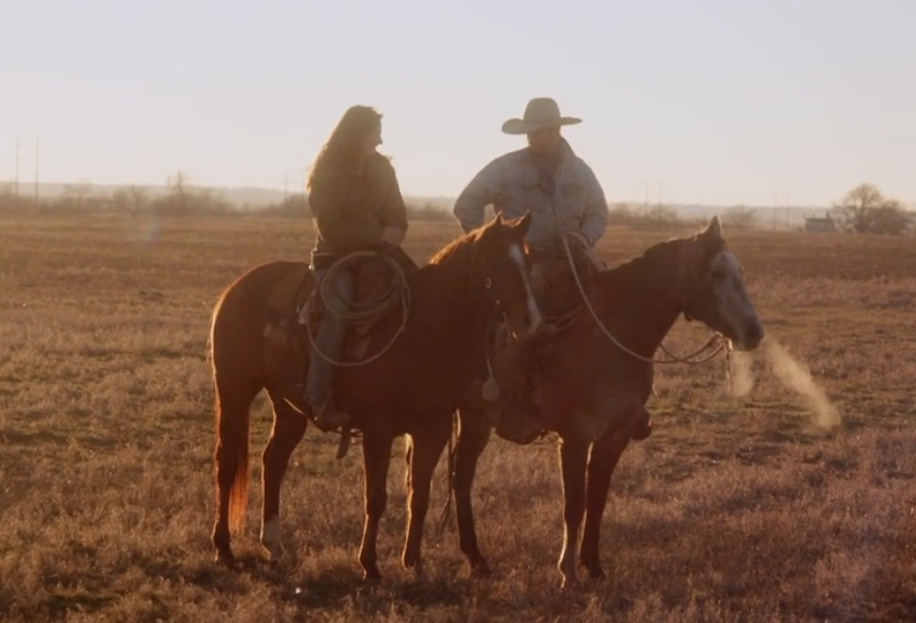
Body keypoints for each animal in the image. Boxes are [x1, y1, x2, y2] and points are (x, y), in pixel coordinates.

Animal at [208, 213, 544, 580]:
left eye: (529, 261)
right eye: (496, 262)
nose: (531, 320)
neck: (424, 331)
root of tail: (236, 287)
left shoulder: (432, 431)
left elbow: (420, 494)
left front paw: (413, 561)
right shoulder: (378, 432)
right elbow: (376, 497)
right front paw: (369, 564)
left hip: (288, 406)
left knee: (274, 460)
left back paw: (273, 545)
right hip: (234, 390)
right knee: (227, 463)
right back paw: (223, 547)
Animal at [452, 217, 764, 588]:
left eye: (739, 270)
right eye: (716, 272)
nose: (755, 331)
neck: (616, 336)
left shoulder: (615, 437)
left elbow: (597, 500)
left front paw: (593, 565)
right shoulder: (574, 438)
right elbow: (574, 505)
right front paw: (568, 573)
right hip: (474, 421)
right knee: (460, 478)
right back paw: (475, 558)